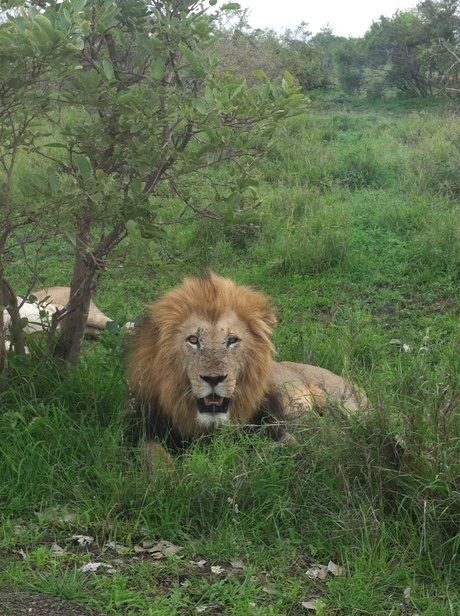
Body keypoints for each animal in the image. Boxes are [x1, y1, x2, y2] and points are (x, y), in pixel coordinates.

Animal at [126, 272, 366, 464]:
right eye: (193, 340)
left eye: (232, 340)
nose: (213, 379)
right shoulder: (147, 429)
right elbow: (154, 457)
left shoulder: (272, 423)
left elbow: (291, 444)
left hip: (342, 402)